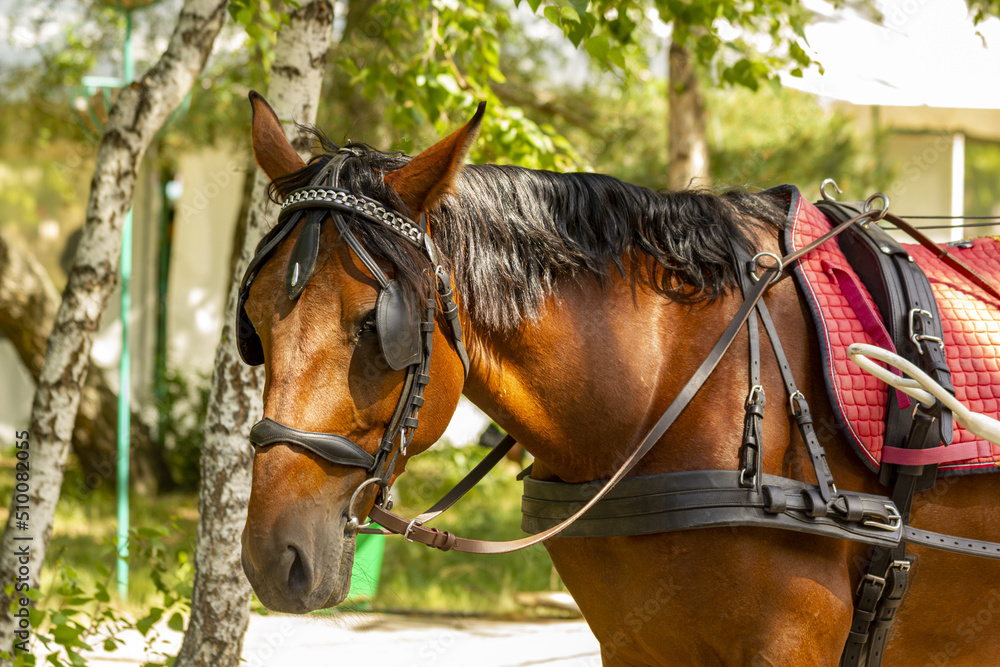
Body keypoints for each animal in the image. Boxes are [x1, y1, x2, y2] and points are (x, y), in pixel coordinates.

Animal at [236, 92, 1000, 666]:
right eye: (255, 323)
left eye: (374, 324)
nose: (275, 557)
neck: (668, 386)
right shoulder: (634, 644)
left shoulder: (791, 644)